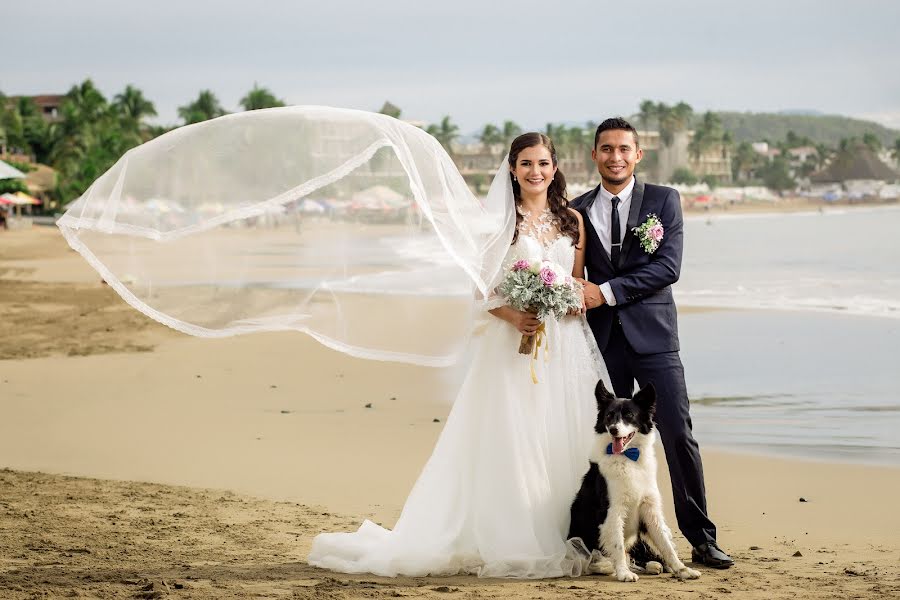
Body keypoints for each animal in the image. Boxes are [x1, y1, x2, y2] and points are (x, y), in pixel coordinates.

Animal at [568, 380, 704, 580]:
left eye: (629, 415)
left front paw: (682, 569)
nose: (613, 429)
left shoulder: (650, 508)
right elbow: (617, 544)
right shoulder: (612, 509)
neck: (628, 458)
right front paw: (623, 572)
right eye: (609, 416)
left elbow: (666, 544)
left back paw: (654, 565)